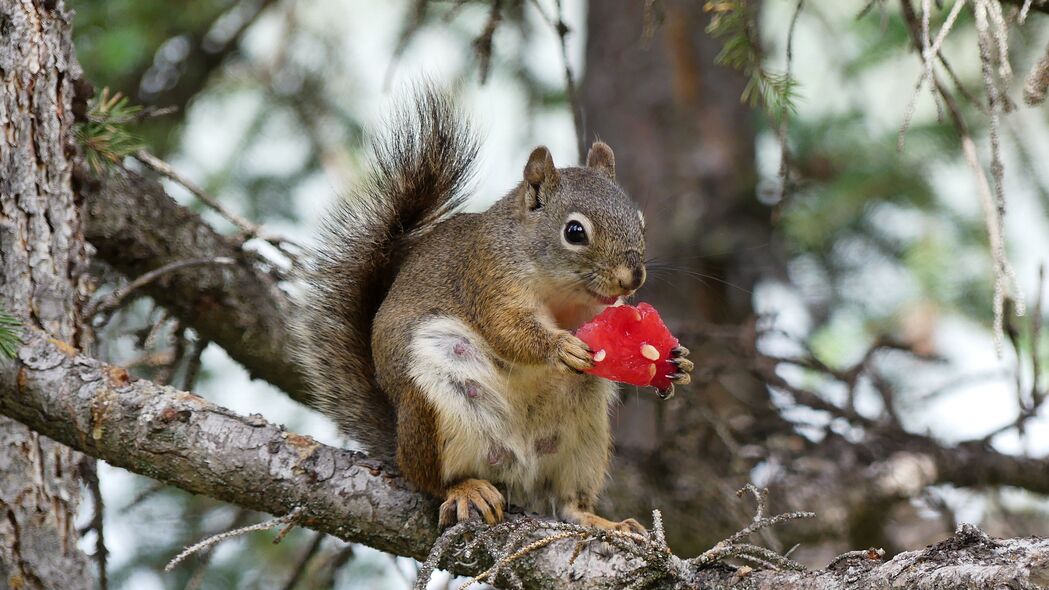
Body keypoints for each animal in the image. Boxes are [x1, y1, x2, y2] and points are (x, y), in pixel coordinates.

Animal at [291, 88, 692, 533]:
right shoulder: (487, 277)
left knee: (569, 501)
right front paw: (560, 348)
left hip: (585, 439)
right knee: (432, 479)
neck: (561, 291)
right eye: (575, 232)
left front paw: (677, 361)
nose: (631, 278)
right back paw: (467, 489)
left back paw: (603, 522)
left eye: (640, 221)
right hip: (436, 410)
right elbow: (508, 330)